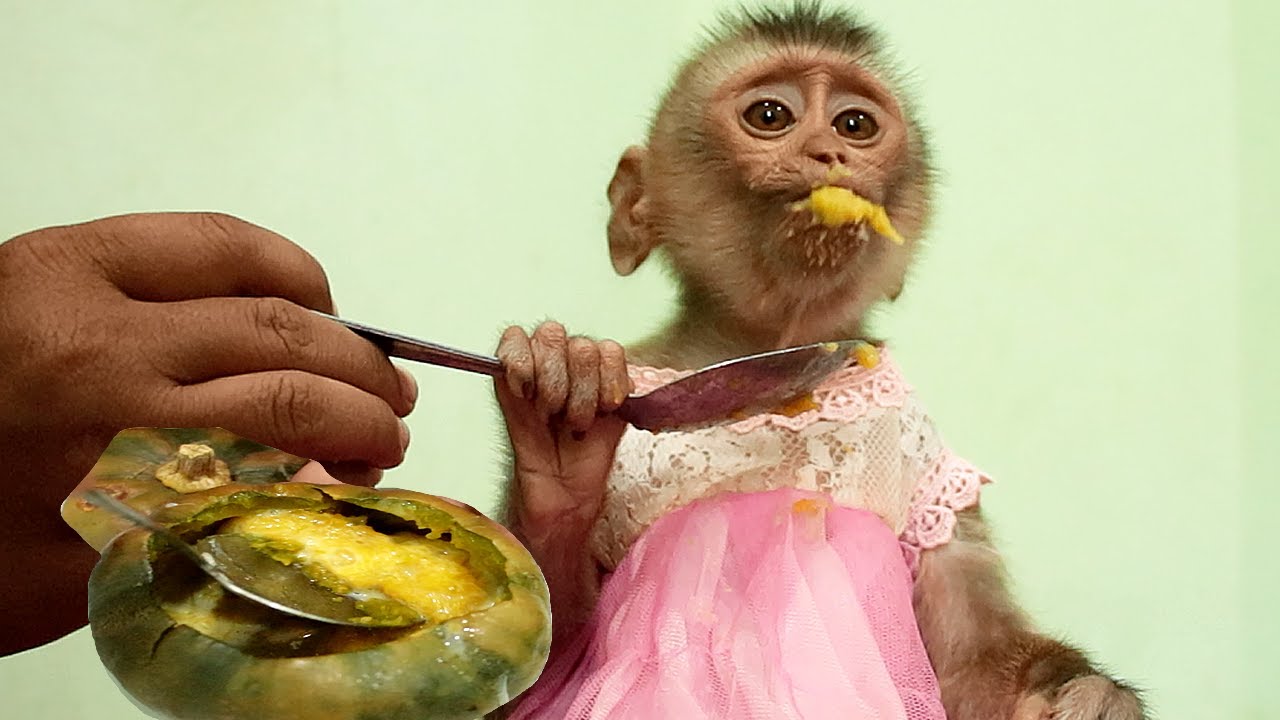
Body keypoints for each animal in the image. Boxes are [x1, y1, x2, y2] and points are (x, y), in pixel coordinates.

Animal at [490, 3, 1146, 718]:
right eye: (771, 115)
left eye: (855, 125)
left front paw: (1093, 695)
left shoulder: (932, 466)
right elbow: (540, 673)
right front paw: (560, 425)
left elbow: (970, 670)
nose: (828, 153)